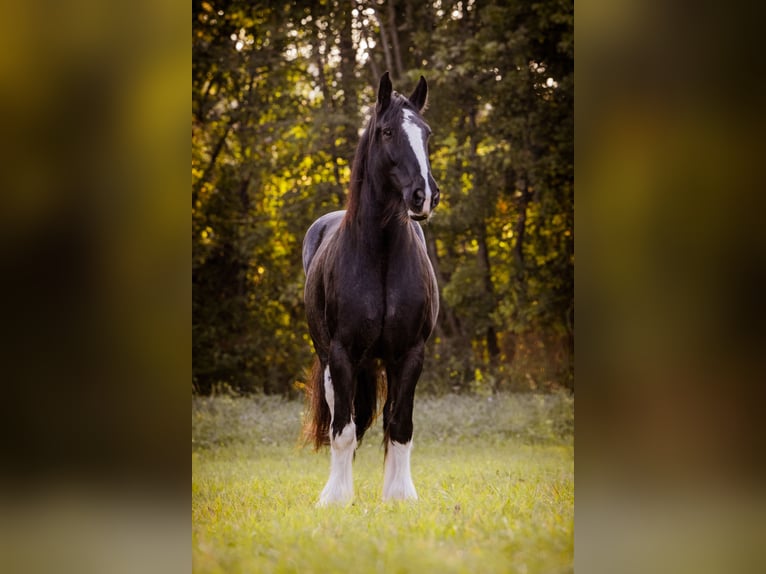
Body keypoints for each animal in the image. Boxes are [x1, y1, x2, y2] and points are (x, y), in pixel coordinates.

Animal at [304, 73, 440, 508]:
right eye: (387, 131)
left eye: (426, 133)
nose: (424, 195)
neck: (379, 253)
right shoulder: (343, 354)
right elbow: (343, 430)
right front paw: (335, 497)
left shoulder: (410, 355)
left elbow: (400, 425)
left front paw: (400, 495)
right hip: (331, 362)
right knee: (341, 418)